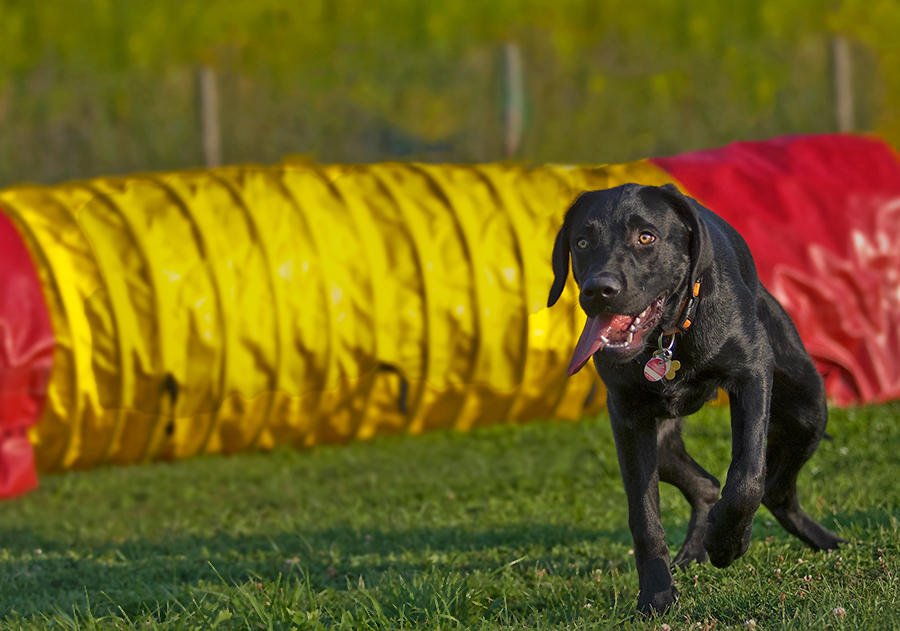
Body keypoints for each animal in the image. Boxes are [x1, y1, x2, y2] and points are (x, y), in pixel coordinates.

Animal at [544, 184, 848, 616]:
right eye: (582, 243)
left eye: (647, 237)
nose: (599, 290)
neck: (668, 339)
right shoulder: (628, 420)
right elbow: (644, 517)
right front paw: (656, 594)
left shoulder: (752, 374)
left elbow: (747, 479)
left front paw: (727, 544)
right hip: (662, 443)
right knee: (706, 485)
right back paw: (692, 554)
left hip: (808, 409)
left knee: (775, 490)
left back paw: (823, 541)